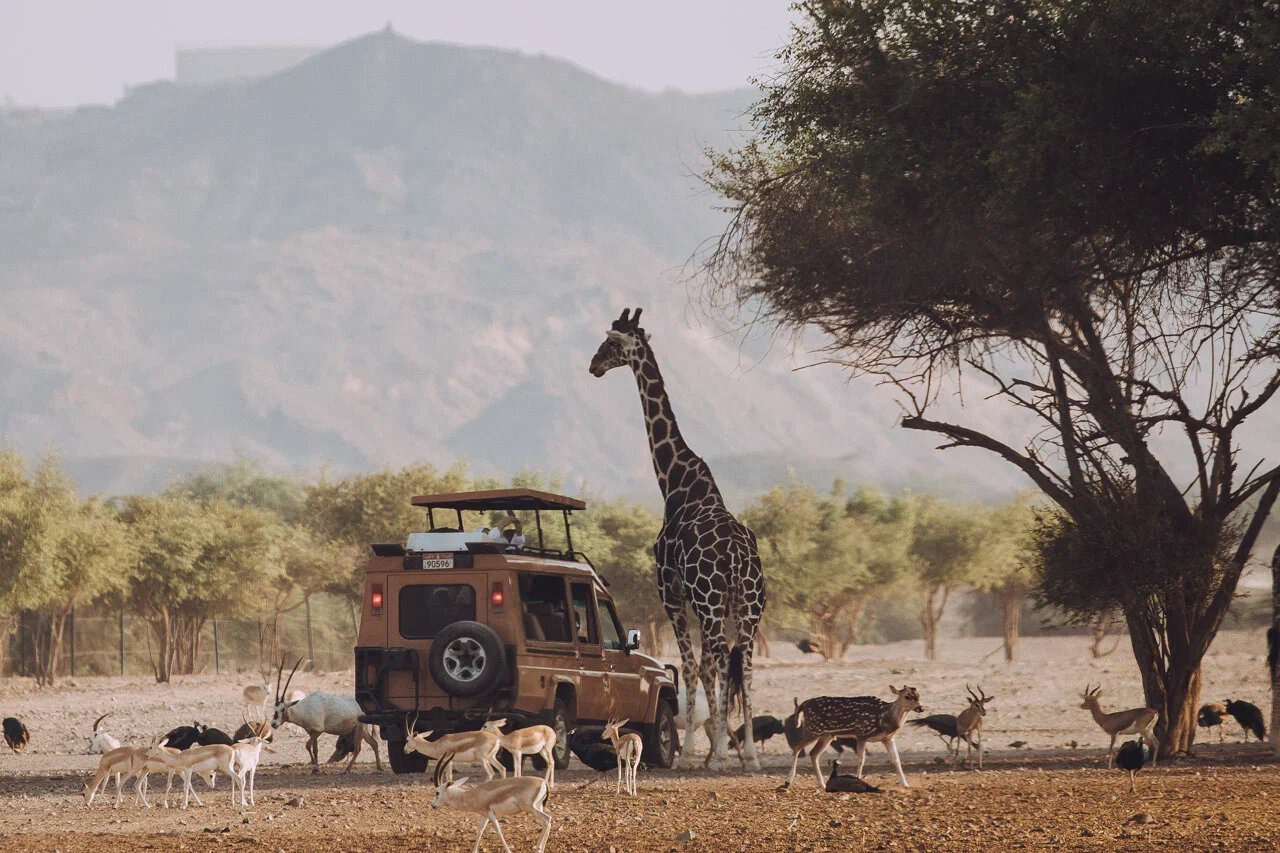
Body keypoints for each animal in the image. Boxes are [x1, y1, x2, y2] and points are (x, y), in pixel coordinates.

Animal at [591, 307, 768, 768]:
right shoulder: (701, 600)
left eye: (612, 342)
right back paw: (750, 756)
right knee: (745, 662)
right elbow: (704, 667)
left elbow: (689, 666)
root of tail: (738, 554)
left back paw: (723, 753)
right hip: (749, 604)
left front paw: (691, 752)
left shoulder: (670, 592)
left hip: (711, 600)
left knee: (721, 659)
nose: (593, 365)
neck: (674, 482)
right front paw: (711, 752)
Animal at [778, 681, 921, 788]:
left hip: (826, 735)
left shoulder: (888, 738)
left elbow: (896, 759)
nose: (921, 708)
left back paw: (822, 784)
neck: (884, 718)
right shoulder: (862, 734)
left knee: (813, 753)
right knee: (797, 748)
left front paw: (905, 784)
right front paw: (858, 780)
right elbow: (861, 760)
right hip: (812, 729)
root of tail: (805, 703)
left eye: (919, 695)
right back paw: (788, 781)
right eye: (907, 696)